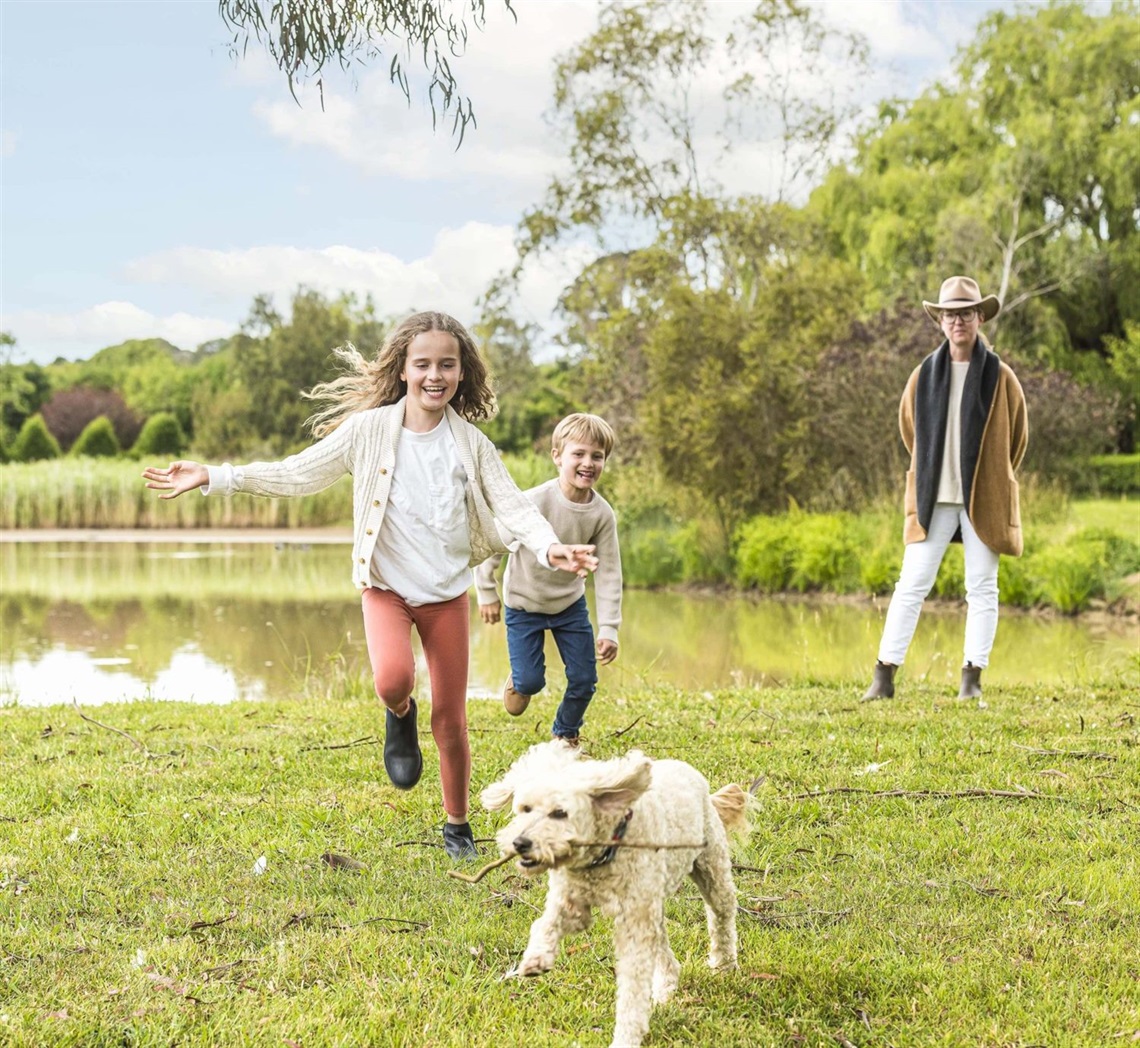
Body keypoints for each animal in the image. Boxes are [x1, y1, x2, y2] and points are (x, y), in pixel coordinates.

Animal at [481, 743, 747, 1044]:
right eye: (525, 808)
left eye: (560, 813)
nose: (521, 842)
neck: (602, 856)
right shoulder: (572, 902)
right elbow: (545, 923)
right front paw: (537, 958)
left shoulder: (634, 927)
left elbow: (632, 988)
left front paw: (626, 1037)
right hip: (652, 903)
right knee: (663, 946)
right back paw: (666, 986)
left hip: (711, 871)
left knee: (721, 918)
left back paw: (724, 965)